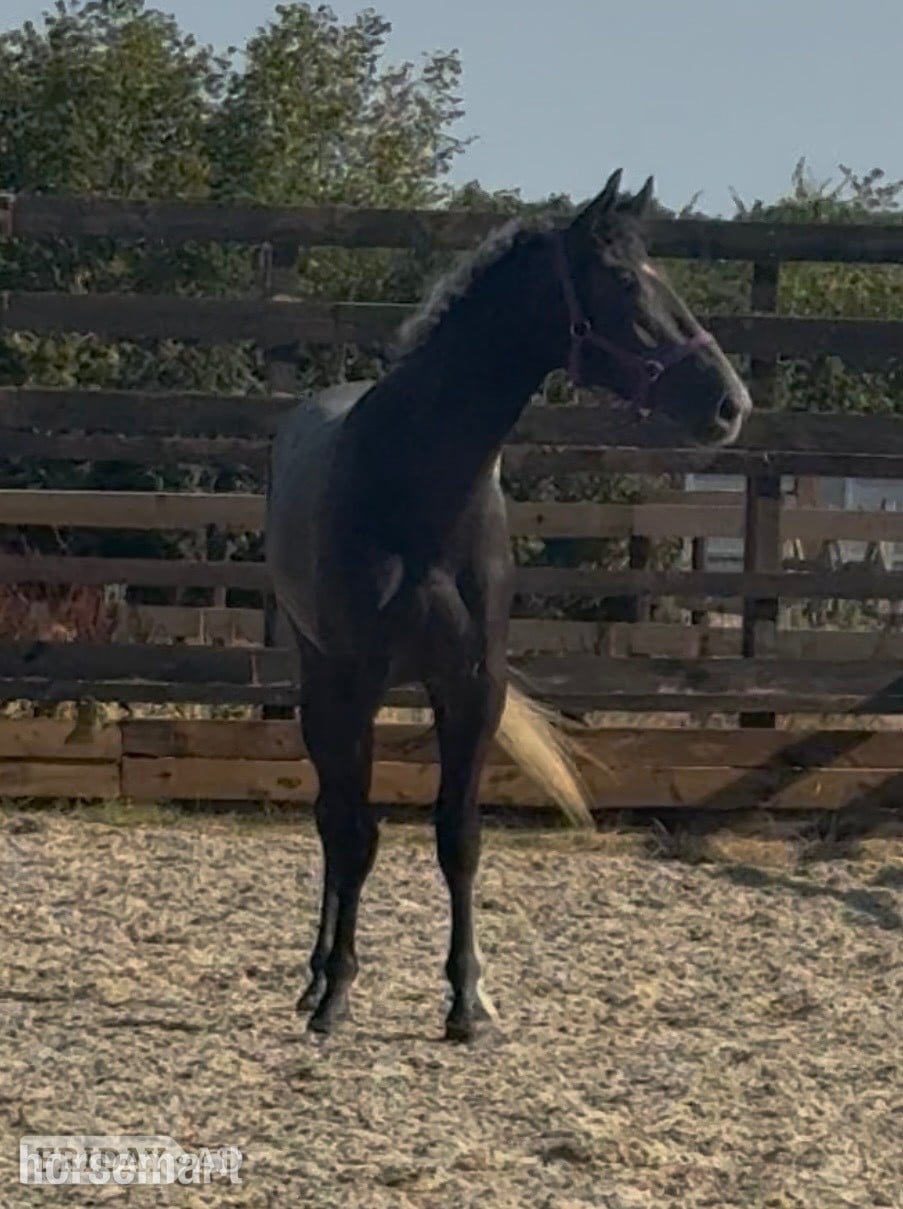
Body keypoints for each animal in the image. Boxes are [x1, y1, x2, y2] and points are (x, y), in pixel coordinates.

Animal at [265, 169, 752, 1042]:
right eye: (622, 280)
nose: (730, 404)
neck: (414, 482)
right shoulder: (356, 683)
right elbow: (354, 830)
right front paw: (337, 993)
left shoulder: (472, 685)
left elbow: (458, 837)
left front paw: (467, 1002)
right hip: (317, 678)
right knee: (331, 815)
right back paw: (316, 974)